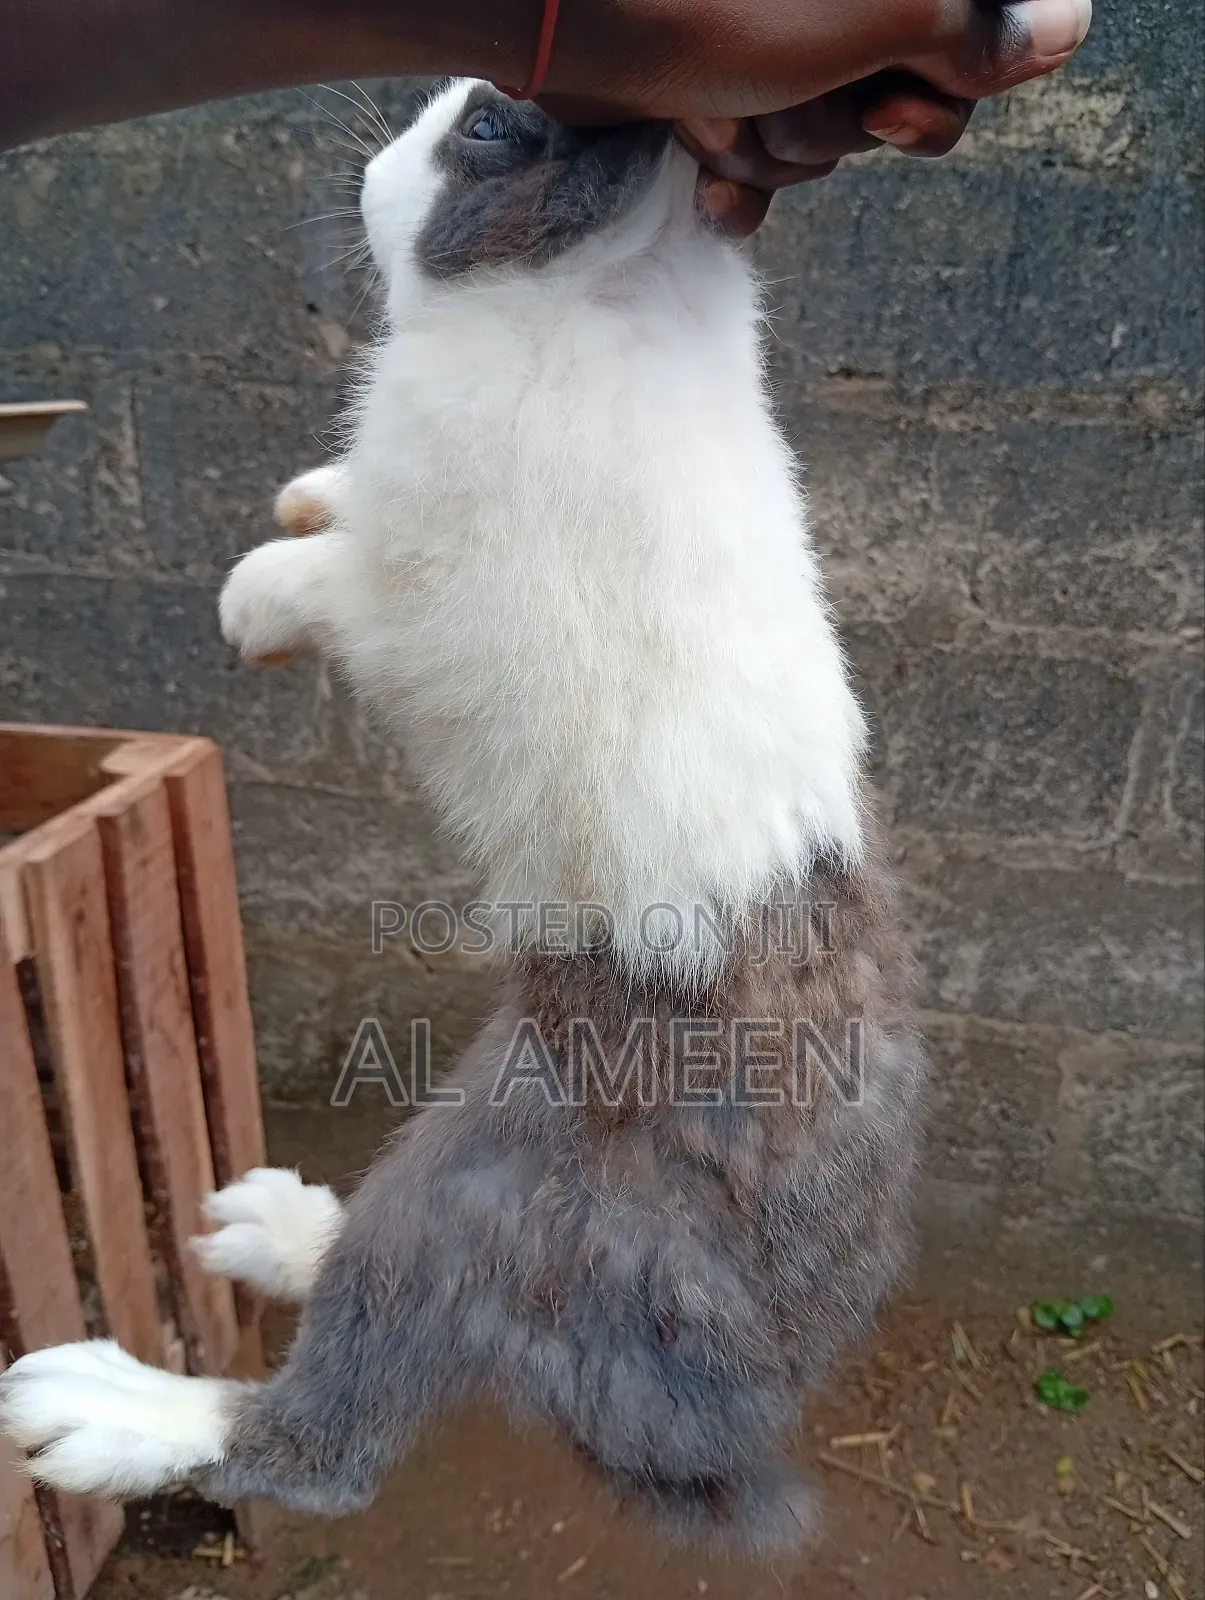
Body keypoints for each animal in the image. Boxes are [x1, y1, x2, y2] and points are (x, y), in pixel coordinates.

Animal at [0, 78, 925, 1558]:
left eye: (485, 130)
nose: (382, 157)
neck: (594, 287)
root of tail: (758, 1370)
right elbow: (331, 514)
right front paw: (302, 495)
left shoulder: (403, 582)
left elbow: (325, 576)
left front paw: (252, 604)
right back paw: (269, 1226)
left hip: (477, 1192)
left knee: (334, 1424)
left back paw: (98, 1407)